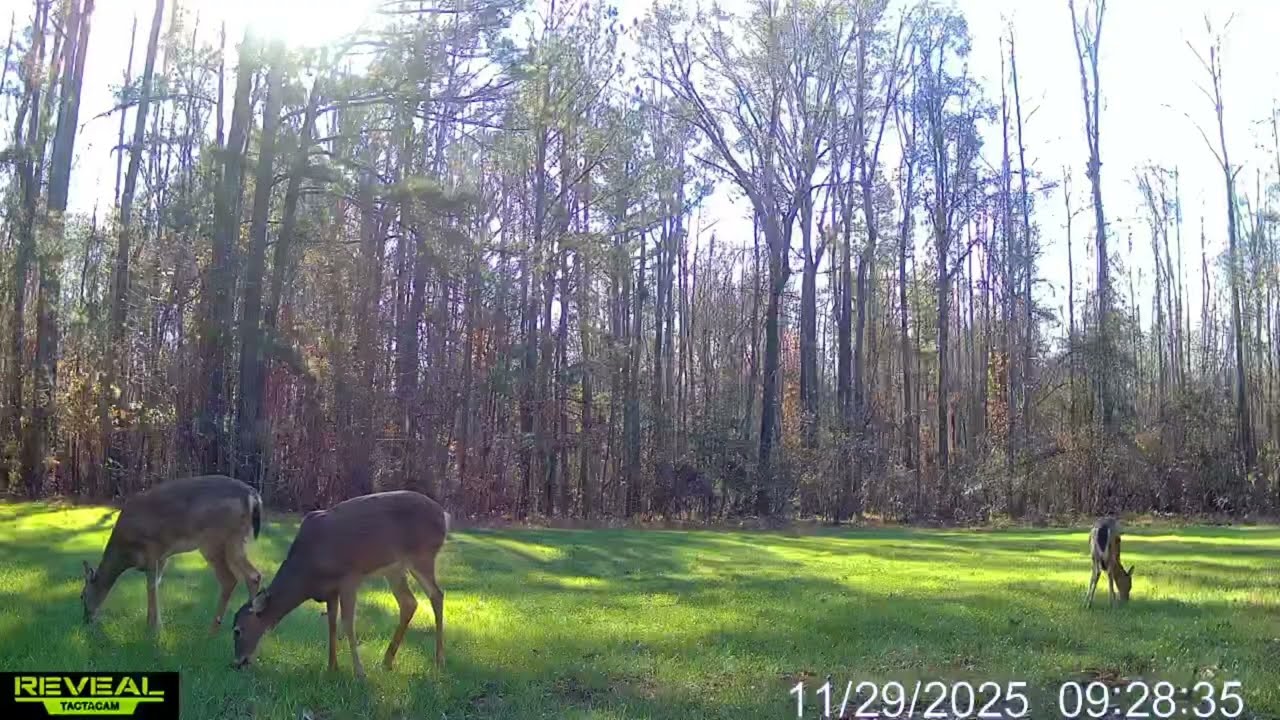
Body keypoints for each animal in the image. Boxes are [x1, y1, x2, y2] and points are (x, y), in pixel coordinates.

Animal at [81, 474, 263, 634]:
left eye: (82, 596)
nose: (86, 620)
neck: (125, 552)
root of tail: (252, 495)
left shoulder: (152, 548)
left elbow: (151, 586)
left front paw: (154, 628)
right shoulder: (162, 557)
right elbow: (155, 584)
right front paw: (152, 623)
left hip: (213, 540)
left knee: (229, 579)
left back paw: (212, 631)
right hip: (237, 539)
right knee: (253, 575)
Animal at [231, 489, 450, 677]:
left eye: (238, 630)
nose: (237, 663)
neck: (307, 572)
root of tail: (444, 515)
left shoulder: (349, 578)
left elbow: (347, 624)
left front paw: (359, 673)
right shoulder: (330, 591)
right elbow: (332, 624)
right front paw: (332, 667)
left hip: (422, 555)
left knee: (436, 595)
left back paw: (439, 659)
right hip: (395, 569)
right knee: (409, 602)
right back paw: (387, 661)